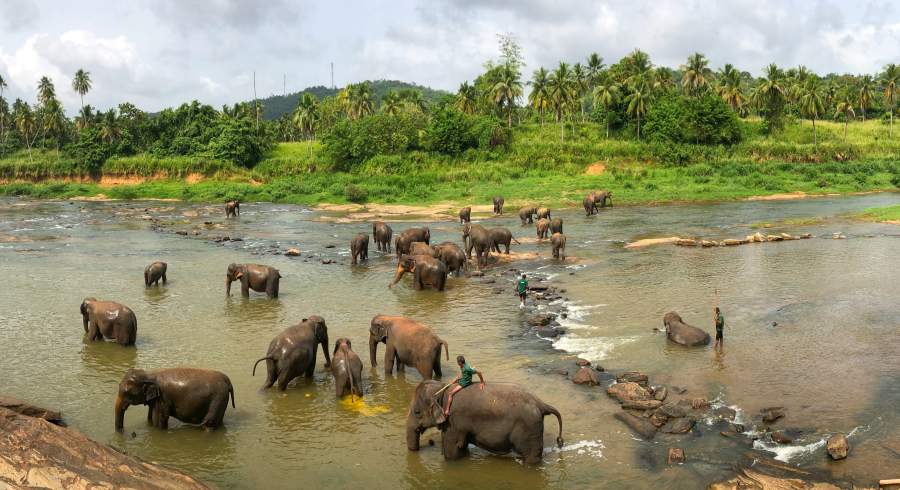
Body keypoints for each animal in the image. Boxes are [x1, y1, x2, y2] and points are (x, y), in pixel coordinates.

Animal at [408, 380, 564, 466]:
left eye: (416, 411)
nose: (417, 450)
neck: (442, 387)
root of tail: (541, 404)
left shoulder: (453, 421)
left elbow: (452, 450)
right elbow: (461, 446)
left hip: (530, 429)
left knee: (532, 456)